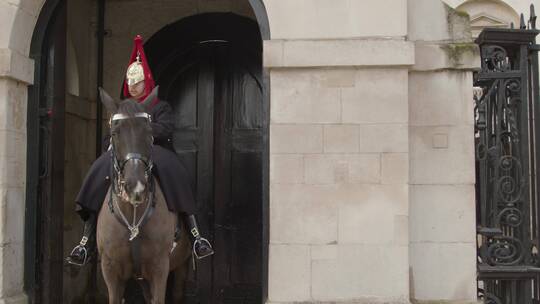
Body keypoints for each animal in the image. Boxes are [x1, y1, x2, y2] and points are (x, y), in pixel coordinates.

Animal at [96, 86, 192, 302]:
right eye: (115, 133)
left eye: (149, 132)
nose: (136, 187)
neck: (133, 214)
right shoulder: (110, 270)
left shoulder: (160, 268)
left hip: (181, 264)